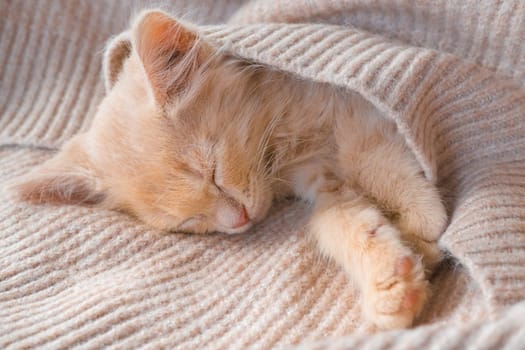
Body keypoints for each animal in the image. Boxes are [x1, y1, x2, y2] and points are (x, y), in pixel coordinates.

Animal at [9, 9, 446, 330]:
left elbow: (371, 155)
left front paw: (422, 219)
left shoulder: (349, 103)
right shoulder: (318, 176)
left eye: (213, 172)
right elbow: (338, 220)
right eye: (187, 223)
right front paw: (393, 276)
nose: (238, 220)